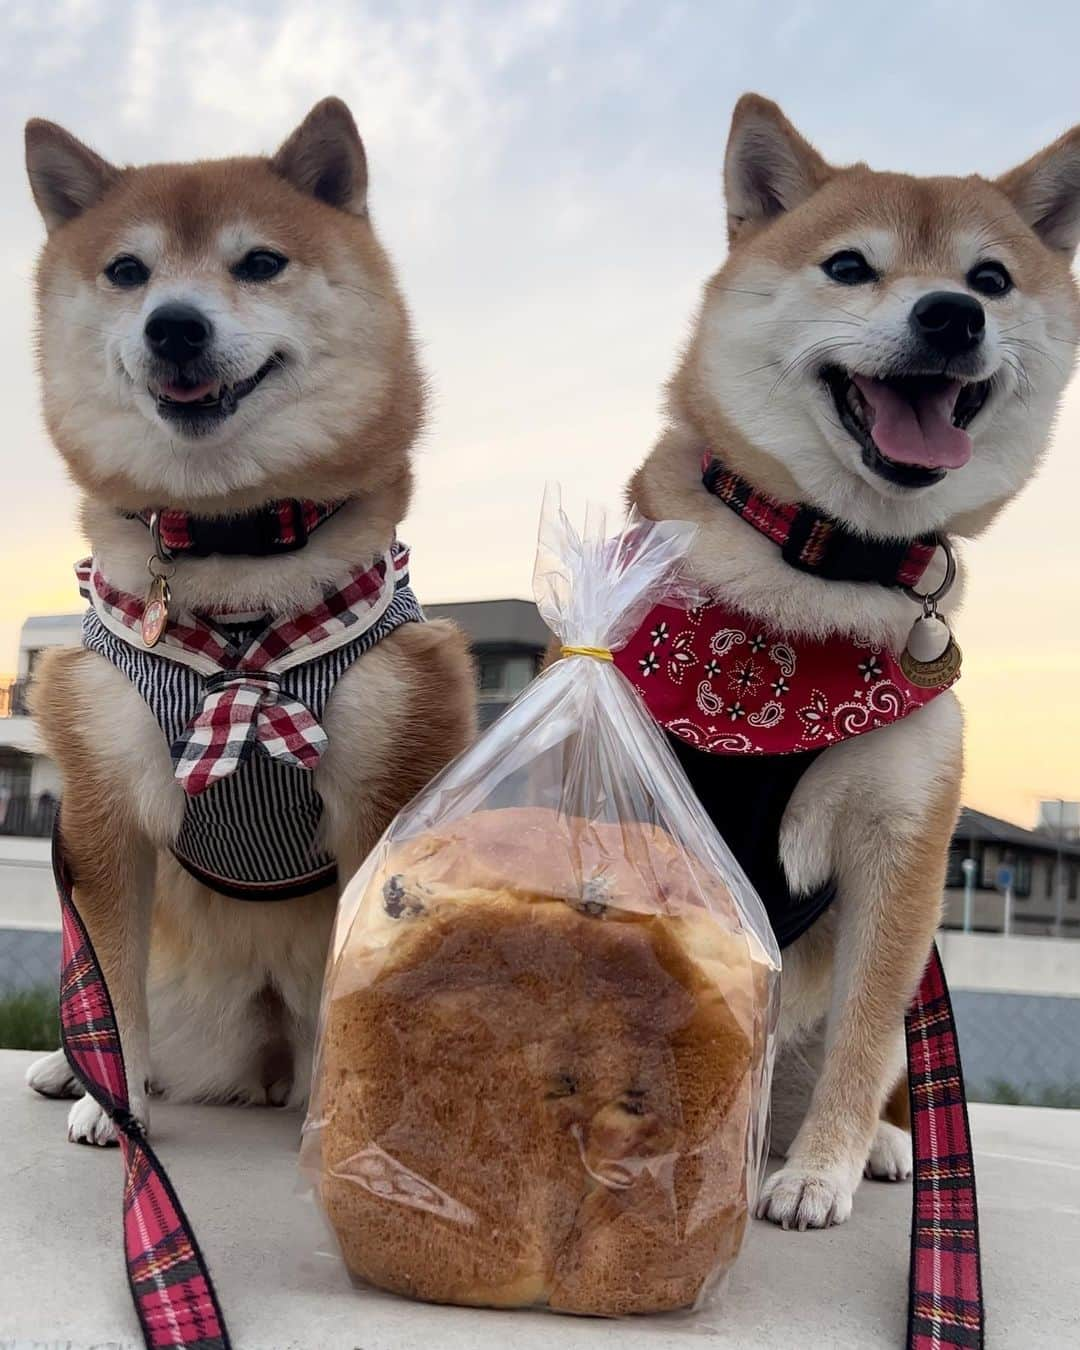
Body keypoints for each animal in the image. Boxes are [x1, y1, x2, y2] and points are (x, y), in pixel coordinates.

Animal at [21, 99, 475, 1144]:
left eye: (260, 262)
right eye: (128, 272)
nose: (175, 326)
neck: (236, 579)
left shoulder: (390, 777)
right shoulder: (104, 804)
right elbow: (110, 982)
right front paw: (115, 1101)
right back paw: (70, 1069)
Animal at [623, 95, 1080, 1231]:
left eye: (991, 278)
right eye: (848, 266)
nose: (952, 315)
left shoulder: (904, 848)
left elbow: (869, 1036)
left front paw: (820, 1170)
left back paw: (872, 1145)